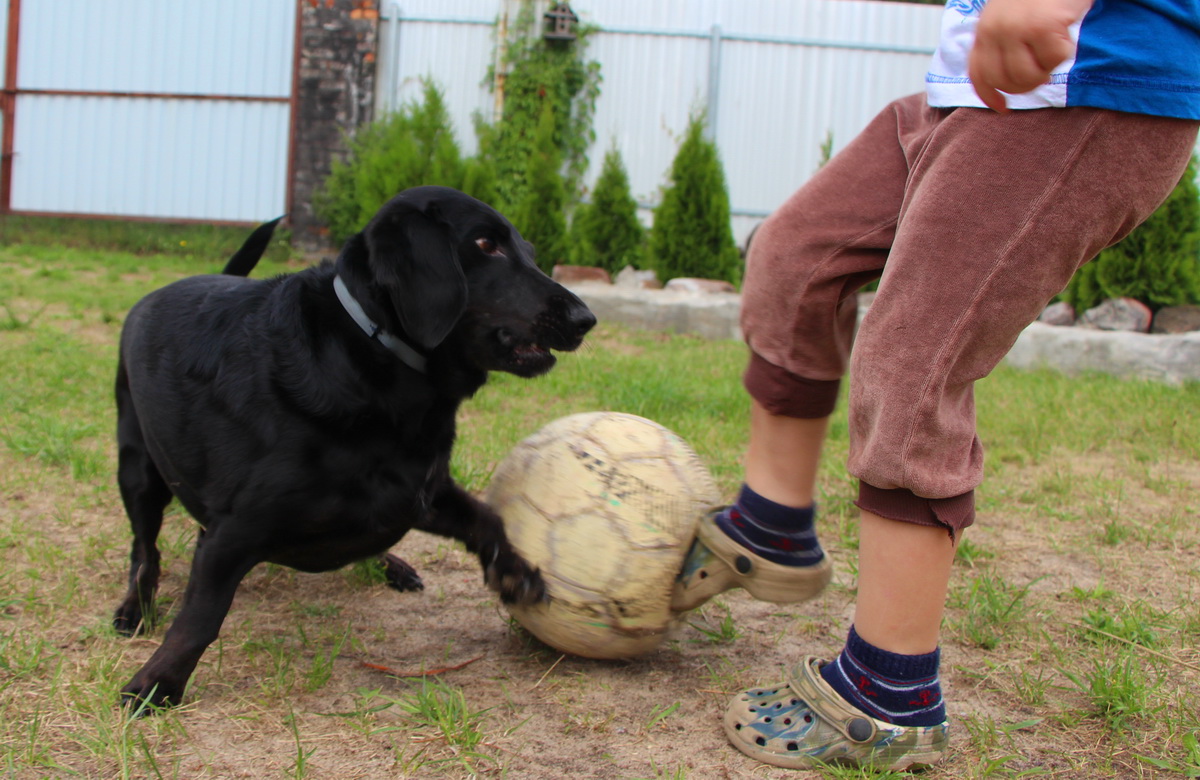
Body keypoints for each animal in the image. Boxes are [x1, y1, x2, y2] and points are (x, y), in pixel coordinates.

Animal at [112, 184, 595, 705]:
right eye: (487, 245)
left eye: (530, 251)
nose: (586, 319)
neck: (375, 362)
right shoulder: (231, 532)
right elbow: (200, 618)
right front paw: (156, 683)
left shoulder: (418, 489)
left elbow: (487, 517)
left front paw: (515, 573)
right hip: (137, 466)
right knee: (144, 550)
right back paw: (135, 609)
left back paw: (393, 565)